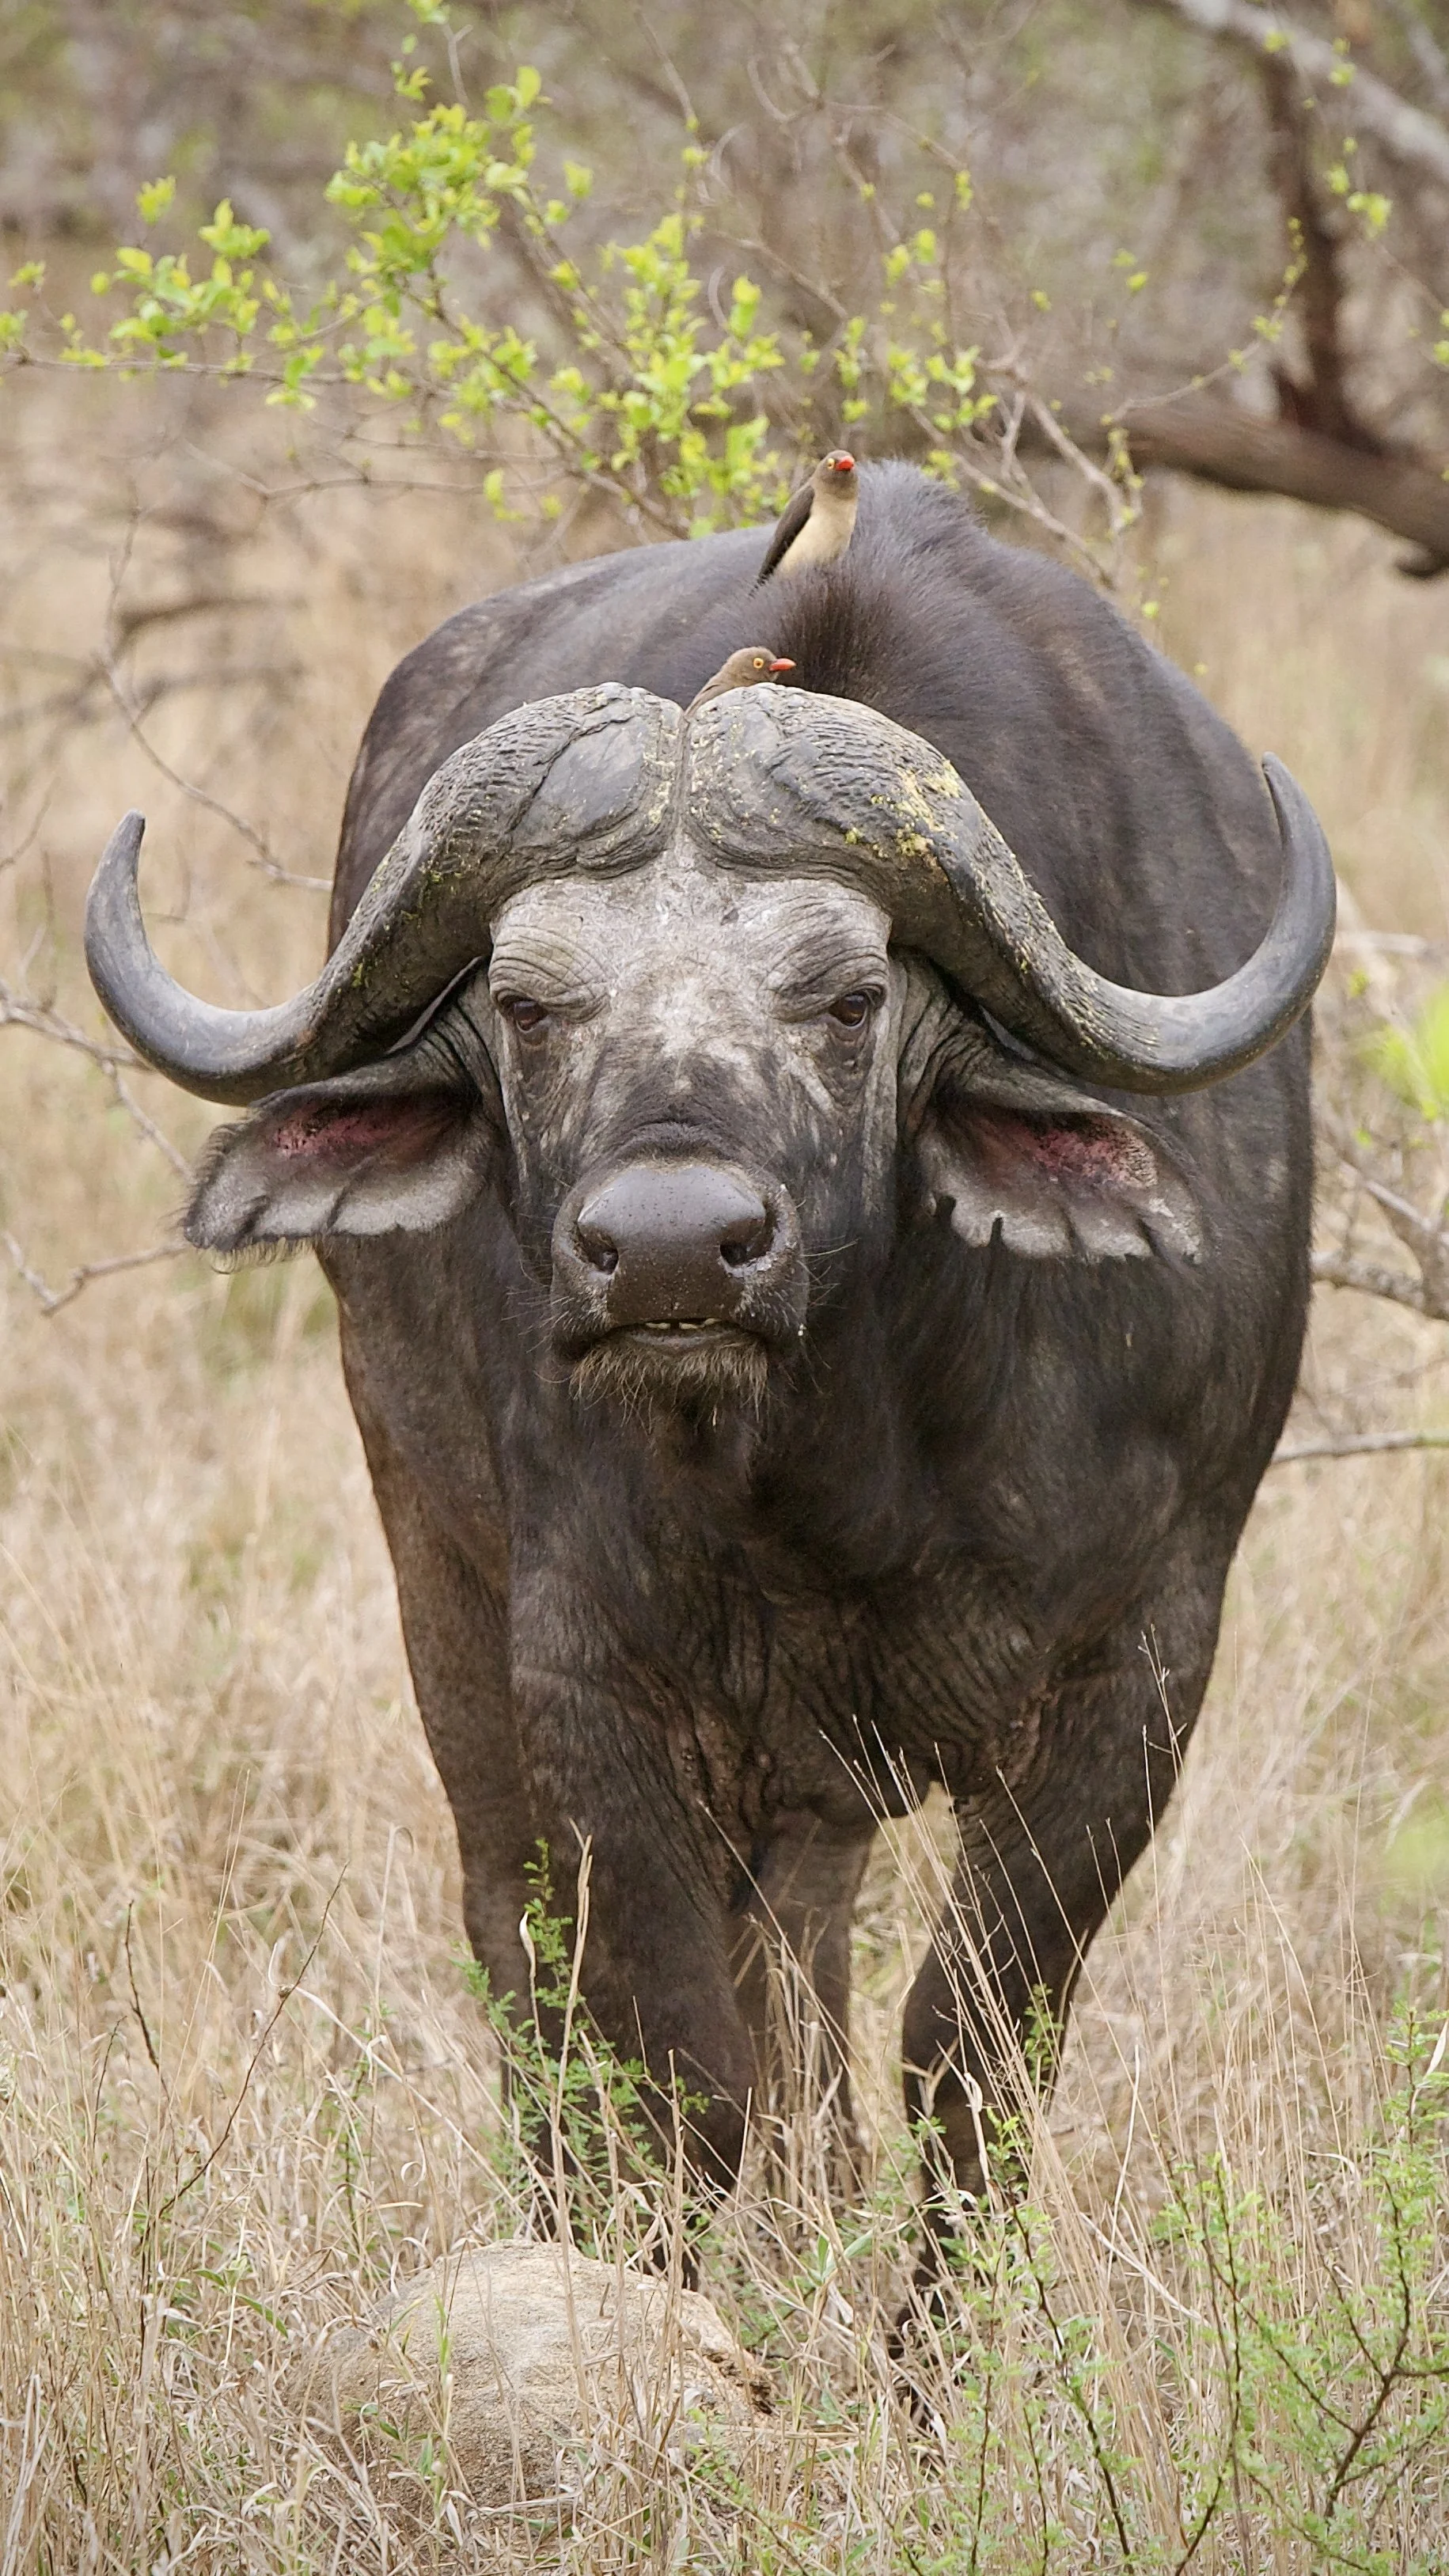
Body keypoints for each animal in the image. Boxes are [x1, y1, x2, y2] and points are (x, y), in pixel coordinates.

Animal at [86, 463, 1334, 2265]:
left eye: (849, 996)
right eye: (528, 1003)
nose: (673, 1251)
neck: (860, 1446)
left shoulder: (1148, 1663)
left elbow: (968, 2055)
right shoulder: (585, 1677)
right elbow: (675, 2066)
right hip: (437, 1574)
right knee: (530, 1956)